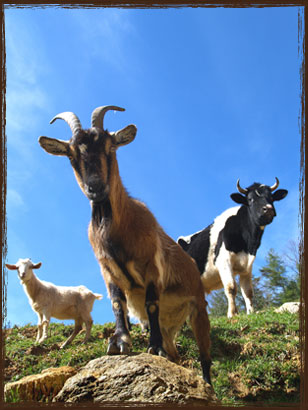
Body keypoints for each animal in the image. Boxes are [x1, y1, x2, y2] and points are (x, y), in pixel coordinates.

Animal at [38, 105, 212, 384]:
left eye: (111, 147)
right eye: (71, 154)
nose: (95, 187)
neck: (118, 232)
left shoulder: (151, 267)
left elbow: (151, 303)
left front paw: (153, 346)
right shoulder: (107, 270)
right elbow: (117, 303)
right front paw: (119, 342)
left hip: (198, 309)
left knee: (206, 358)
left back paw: (204, 382)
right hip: (170, 324)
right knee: (174, 353)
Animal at [177, 179, 288, 318]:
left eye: (271, 197)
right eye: (250, 199)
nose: (268, 209)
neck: (248, 243)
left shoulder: (247, 266)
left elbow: (248, 292)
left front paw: (251, 312)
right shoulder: (223, 261)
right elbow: (231, 288)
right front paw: (232, 314)